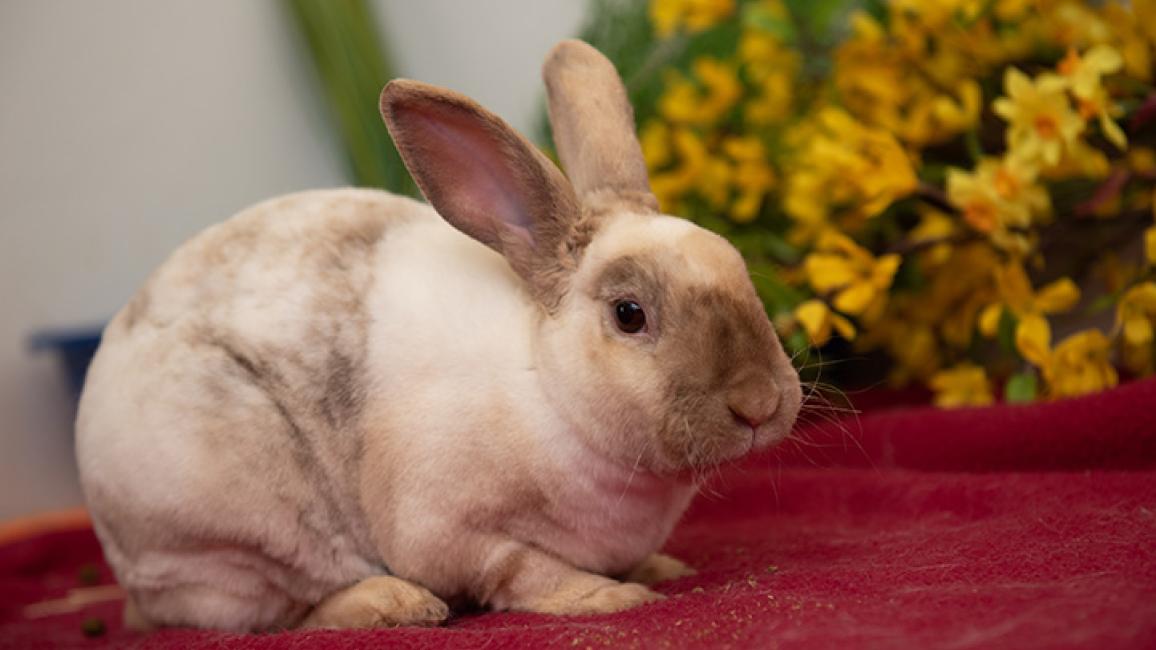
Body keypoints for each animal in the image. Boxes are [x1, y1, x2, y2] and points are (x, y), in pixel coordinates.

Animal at [75, 39, 802, 632]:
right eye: (629, 314)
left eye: (738, 266)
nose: (761, 403)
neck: (548, 388)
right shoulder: (451, 530)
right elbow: (520, 568)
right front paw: (608, 597)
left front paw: (658, 569)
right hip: (237, 537)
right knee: (280, 611)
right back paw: (393, 605)